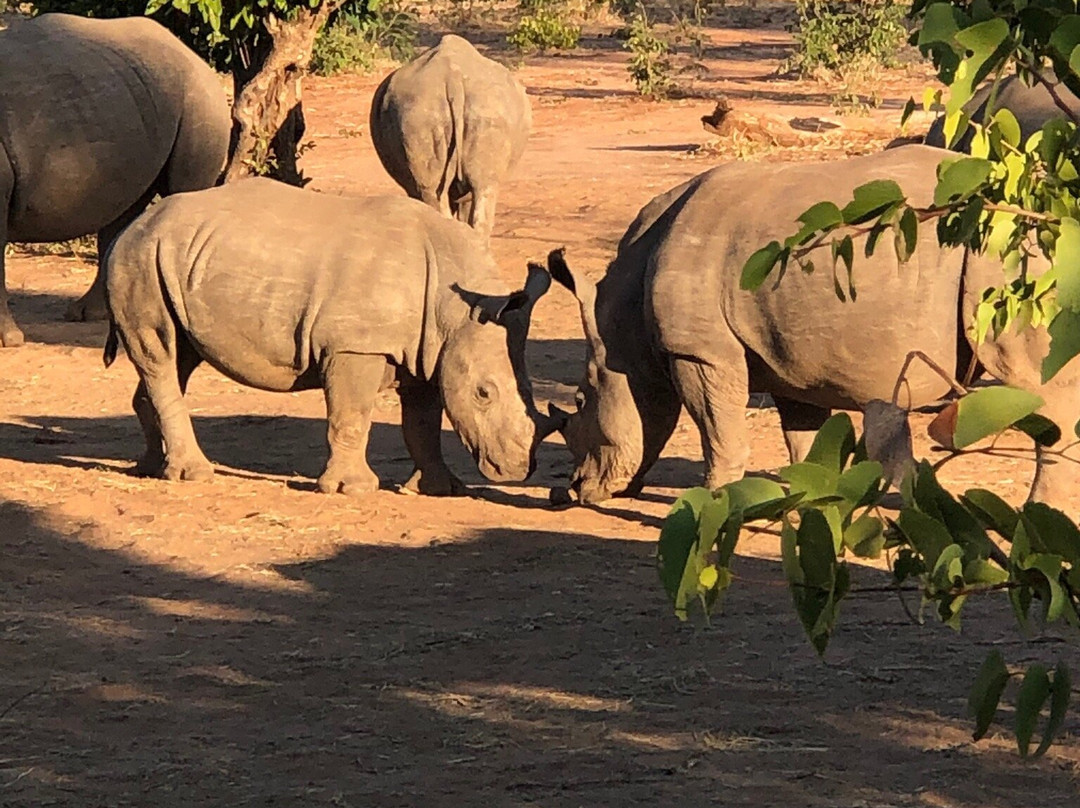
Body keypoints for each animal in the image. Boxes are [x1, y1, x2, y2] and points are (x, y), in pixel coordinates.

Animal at [0, 13, 230, 347]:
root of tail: (190, 53)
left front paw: (9, 340)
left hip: (198, 98)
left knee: (181, 192)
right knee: (122, 208)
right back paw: (88, 314)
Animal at [104, 179, 554, 495]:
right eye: (484, 393)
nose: (518, 469)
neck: (456, 308)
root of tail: (131, 227)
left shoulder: (427, 351)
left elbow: (423, 423)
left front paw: (440, 489)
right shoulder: (356, 344)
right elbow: (351, 414)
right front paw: (352, 490)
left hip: (170, 258)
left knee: (177, 356)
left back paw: (152, 469)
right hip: (140, 257)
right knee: (160, 351)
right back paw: (194, 475)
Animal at [548, 145, 1080, 510]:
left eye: (580, 400)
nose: (573, 491)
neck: (621, 323)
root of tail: (1055, 210)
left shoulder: (699, 350)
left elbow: (718, 432)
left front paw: (708, 504)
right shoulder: (789, 356)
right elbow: (803, 438)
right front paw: (812, 502)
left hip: (1012, 258)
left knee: (1035, 386)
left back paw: (1038, 514)